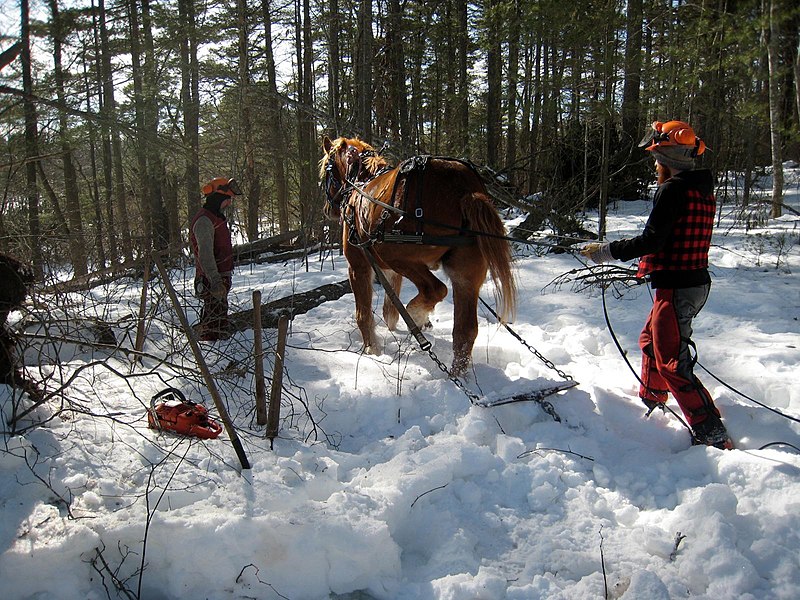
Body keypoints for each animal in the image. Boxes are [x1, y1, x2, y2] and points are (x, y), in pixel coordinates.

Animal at [320, 137, 520, 376]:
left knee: (435, 289)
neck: (360, 182)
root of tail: (465, 188)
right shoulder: (389, 271)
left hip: (397, 255)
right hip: (465, 273)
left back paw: (416, 316)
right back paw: (457, 375)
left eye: (327, 170)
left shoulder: (358, 266)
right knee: (465, 331)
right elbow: (390, 310)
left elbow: (364, 313)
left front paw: (372, 349)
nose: (327, 209)